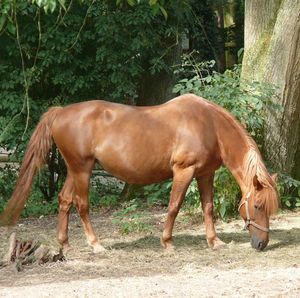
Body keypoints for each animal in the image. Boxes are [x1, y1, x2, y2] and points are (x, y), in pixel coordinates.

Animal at [0, 93, 278, 251]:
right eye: (258, 206)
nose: (261, 244)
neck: (208, 124)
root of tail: (60, 112)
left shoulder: (204, 174)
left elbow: (208, 208)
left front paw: (214, 241)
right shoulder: (183, 172)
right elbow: (174, 207)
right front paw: (167, 242)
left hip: (74, 170)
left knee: (65, 200)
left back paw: (65, 244)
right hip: (82, 170)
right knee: (81, 205)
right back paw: (96, 245)